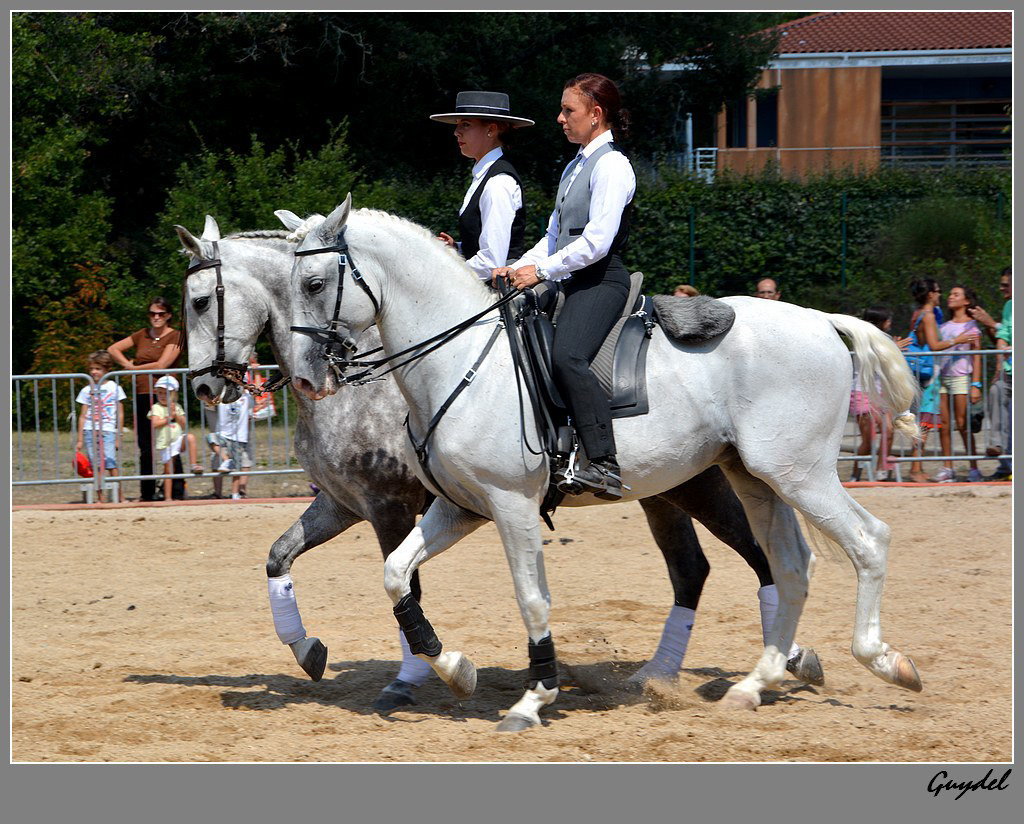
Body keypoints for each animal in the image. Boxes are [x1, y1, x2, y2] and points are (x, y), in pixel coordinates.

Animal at [286, 196, 921, 728]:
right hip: (755, 479)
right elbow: (397, 574)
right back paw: (752, 685)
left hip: (798, 473)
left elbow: (531, 599)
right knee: (788, 567)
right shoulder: (461, 507)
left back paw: (885, 662)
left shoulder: (511, 505)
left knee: (868, 541)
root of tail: (821, 319)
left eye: (315, 283)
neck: (461, 359)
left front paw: (534, 698)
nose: (306, 379)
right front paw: (457, 671)